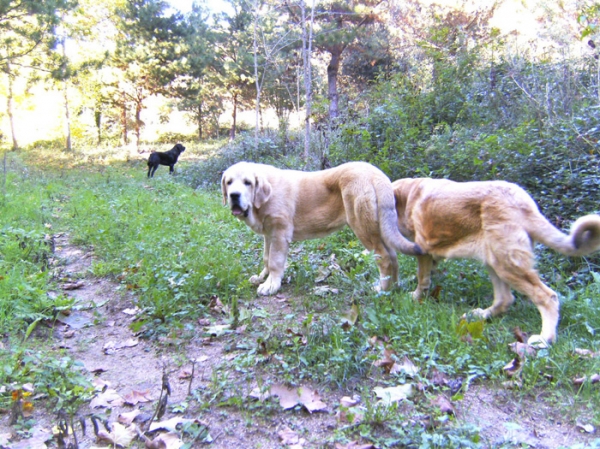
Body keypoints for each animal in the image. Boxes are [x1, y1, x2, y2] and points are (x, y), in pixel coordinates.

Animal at [223, 160, 424, 294]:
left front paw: (271, 285)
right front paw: (261, 278)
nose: (234, 195)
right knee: (393, 256)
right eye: (229, 182)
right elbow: (266, 258)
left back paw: (381, 289)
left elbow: (274, 261)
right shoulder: (268, 234)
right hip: (379, 229)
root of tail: (378, 175)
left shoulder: (280, 232)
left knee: (384, 258)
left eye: (248, 183)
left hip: (363, 227)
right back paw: (394, 287)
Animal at [392, 178, 600, 346]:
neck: (408, 196)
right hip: (495, 262)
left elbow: (422, 279)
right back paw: (478, 315)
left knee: (547, 297)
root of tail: (522, 201)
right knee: (505, 299)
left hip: (507, 265)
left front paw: (415, 297)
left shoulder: (422, 251)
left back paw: (544, 338)